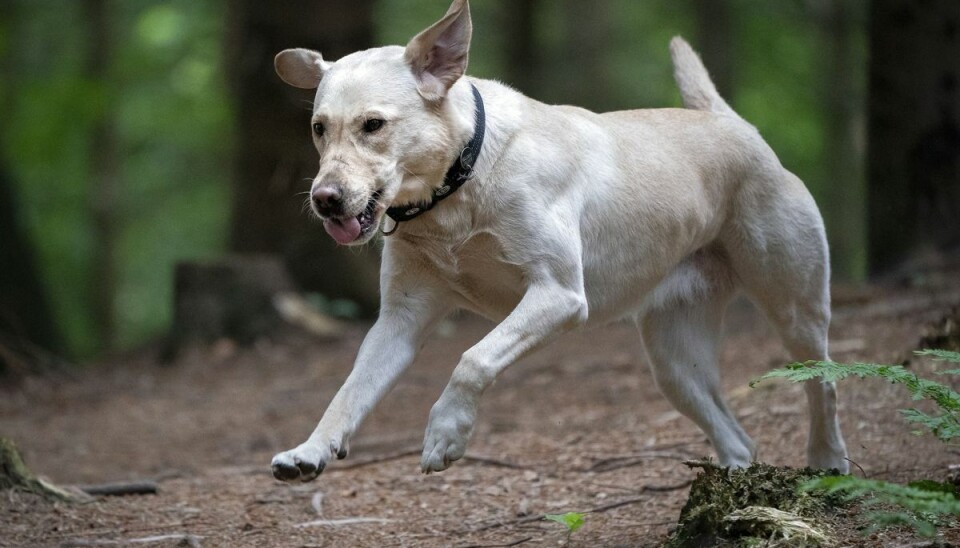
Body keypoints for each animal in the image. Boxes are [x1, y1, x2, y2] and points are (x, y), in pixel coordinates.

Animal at [268, 0, 848, 482]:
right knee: (738, 439)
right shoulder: (400, 320)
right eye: (319, 128)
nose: (325, 199)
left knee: (824, 382)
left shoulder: (559, 294)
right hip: (674, 362)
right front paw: (311, 450)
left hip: (795, 307)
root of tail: (737, 126)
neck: (460, 185)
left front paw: (444, 435)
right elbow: (348, 392)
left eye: (373, 125)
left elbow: (473, 359)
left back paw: (828, 462)